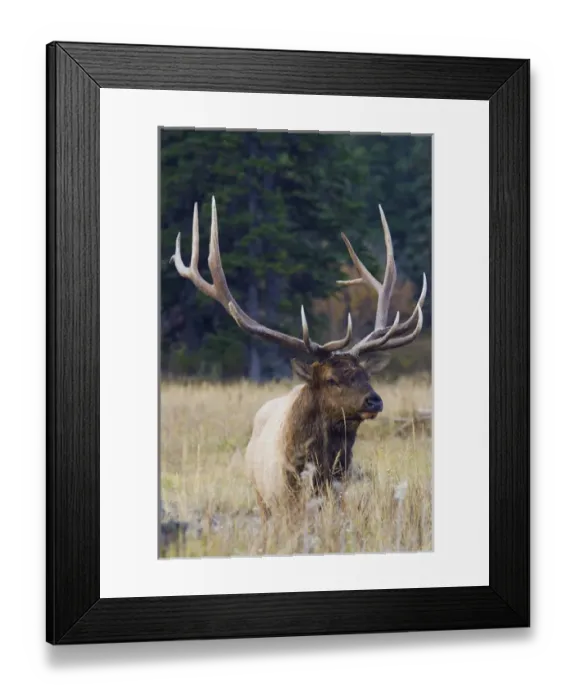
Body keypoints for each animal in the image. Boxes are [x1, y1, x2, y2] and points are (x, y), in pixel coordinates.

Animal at [169, 197, 427, 523]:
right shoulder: (285, 506)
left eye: (366, 375)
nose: (374, 400)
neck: (318, 474)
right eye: (331, 379)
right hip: (262, 501)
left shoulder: (338, 498)